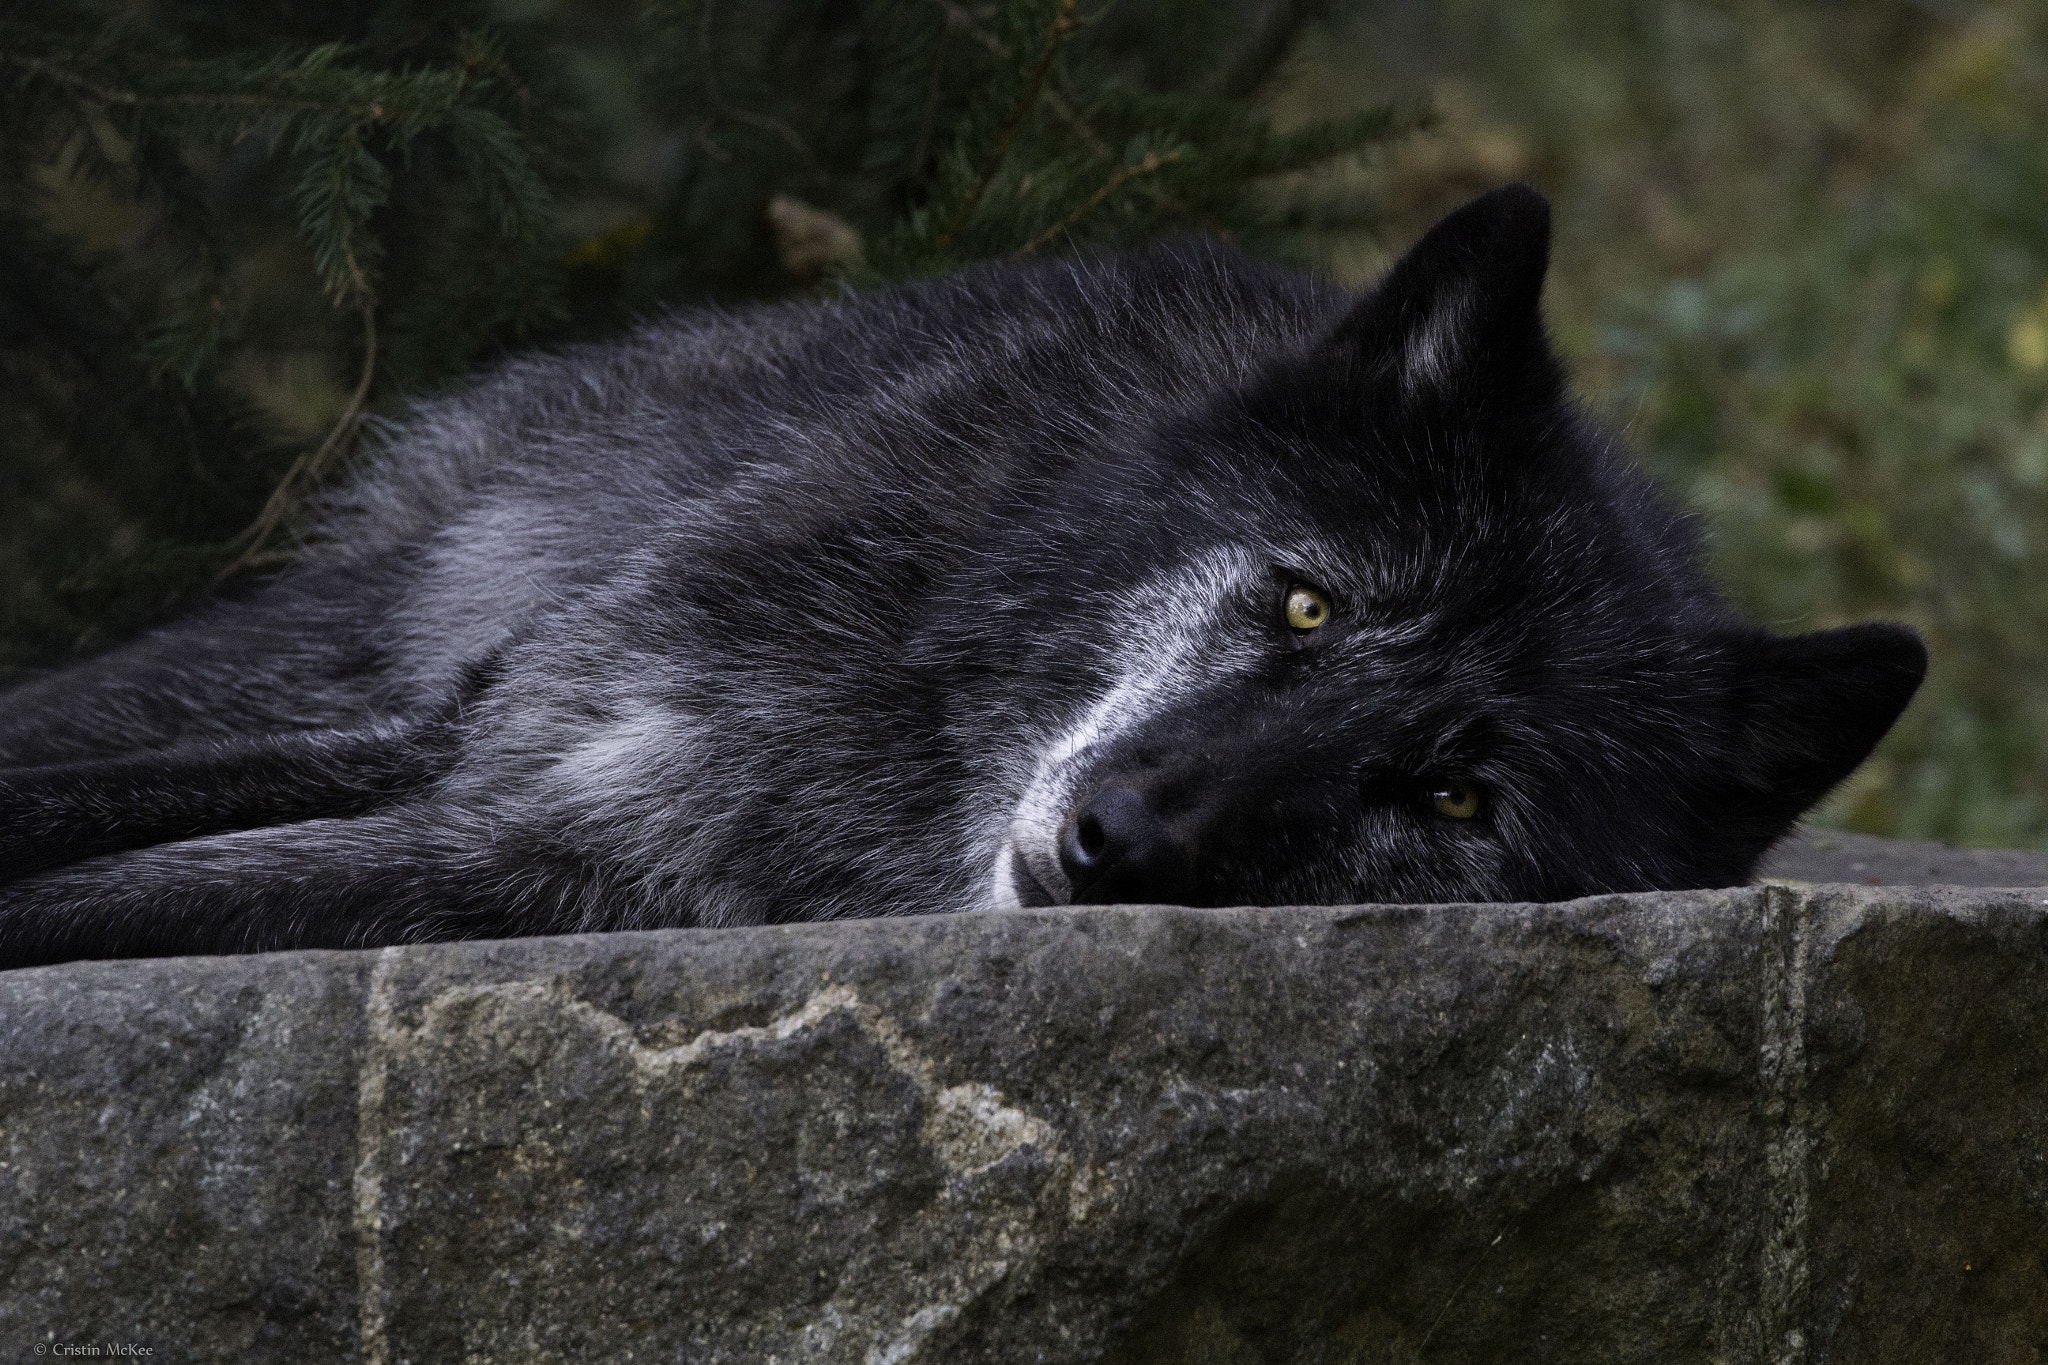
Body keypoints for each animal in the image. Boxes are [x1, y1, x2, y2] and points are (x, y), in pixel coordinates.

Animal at [0, 185, 1925, 968]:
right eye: (1307, 601)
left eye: (1456, 799)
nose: (1113, 842)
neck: (894, 733)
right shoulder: (478, 749)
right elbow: (67, 804)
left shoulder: (522, 858)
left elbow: (112, 894)